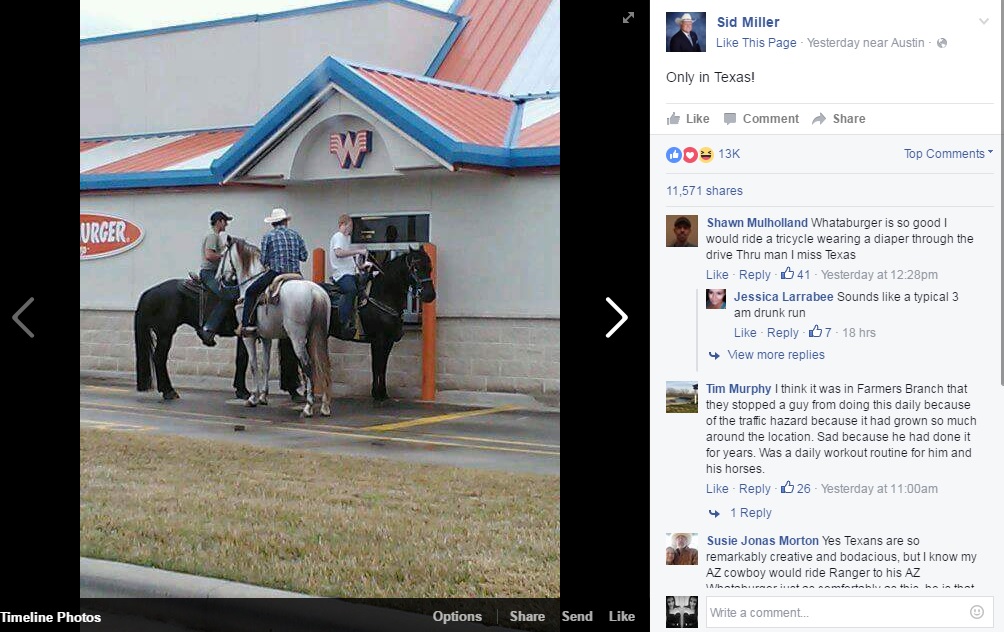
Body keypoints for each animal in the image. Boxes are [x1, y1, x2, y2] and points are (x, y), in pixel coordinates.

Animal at [133, 281, 299, 399]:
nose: (296, 389)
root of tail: (148, 293)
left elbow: (241, 358)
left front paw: (239, 389)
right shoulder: (245, 334)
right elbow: (243, 358)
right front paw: (243, 391)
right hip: (165, 334)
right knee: (159, 358)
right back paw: (168, 391)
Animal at [216, 237, 333, 419]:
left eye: (222, 255)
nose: (218, 278)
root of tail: (315, 292)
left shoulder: (248, 337)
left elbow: (253, 365)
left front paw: (253, 398)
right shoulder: (266, 337)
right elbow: (266, 365)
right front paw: (263, 396)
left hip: (297, 338)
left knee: (308, 365)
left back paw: (308, 406)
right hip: (319, 335)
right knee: (323, 363)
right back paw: (325, 406)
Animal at [325, 245, 435, 399]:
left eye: (430, 267)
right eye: (415, 268)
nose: (430, 295)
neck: (383, 294)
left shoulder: (388, 340)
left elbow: (382, 366)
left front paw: (382, 392)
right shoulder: (379, 339)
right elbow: (378, 365)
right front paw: (377, 394)